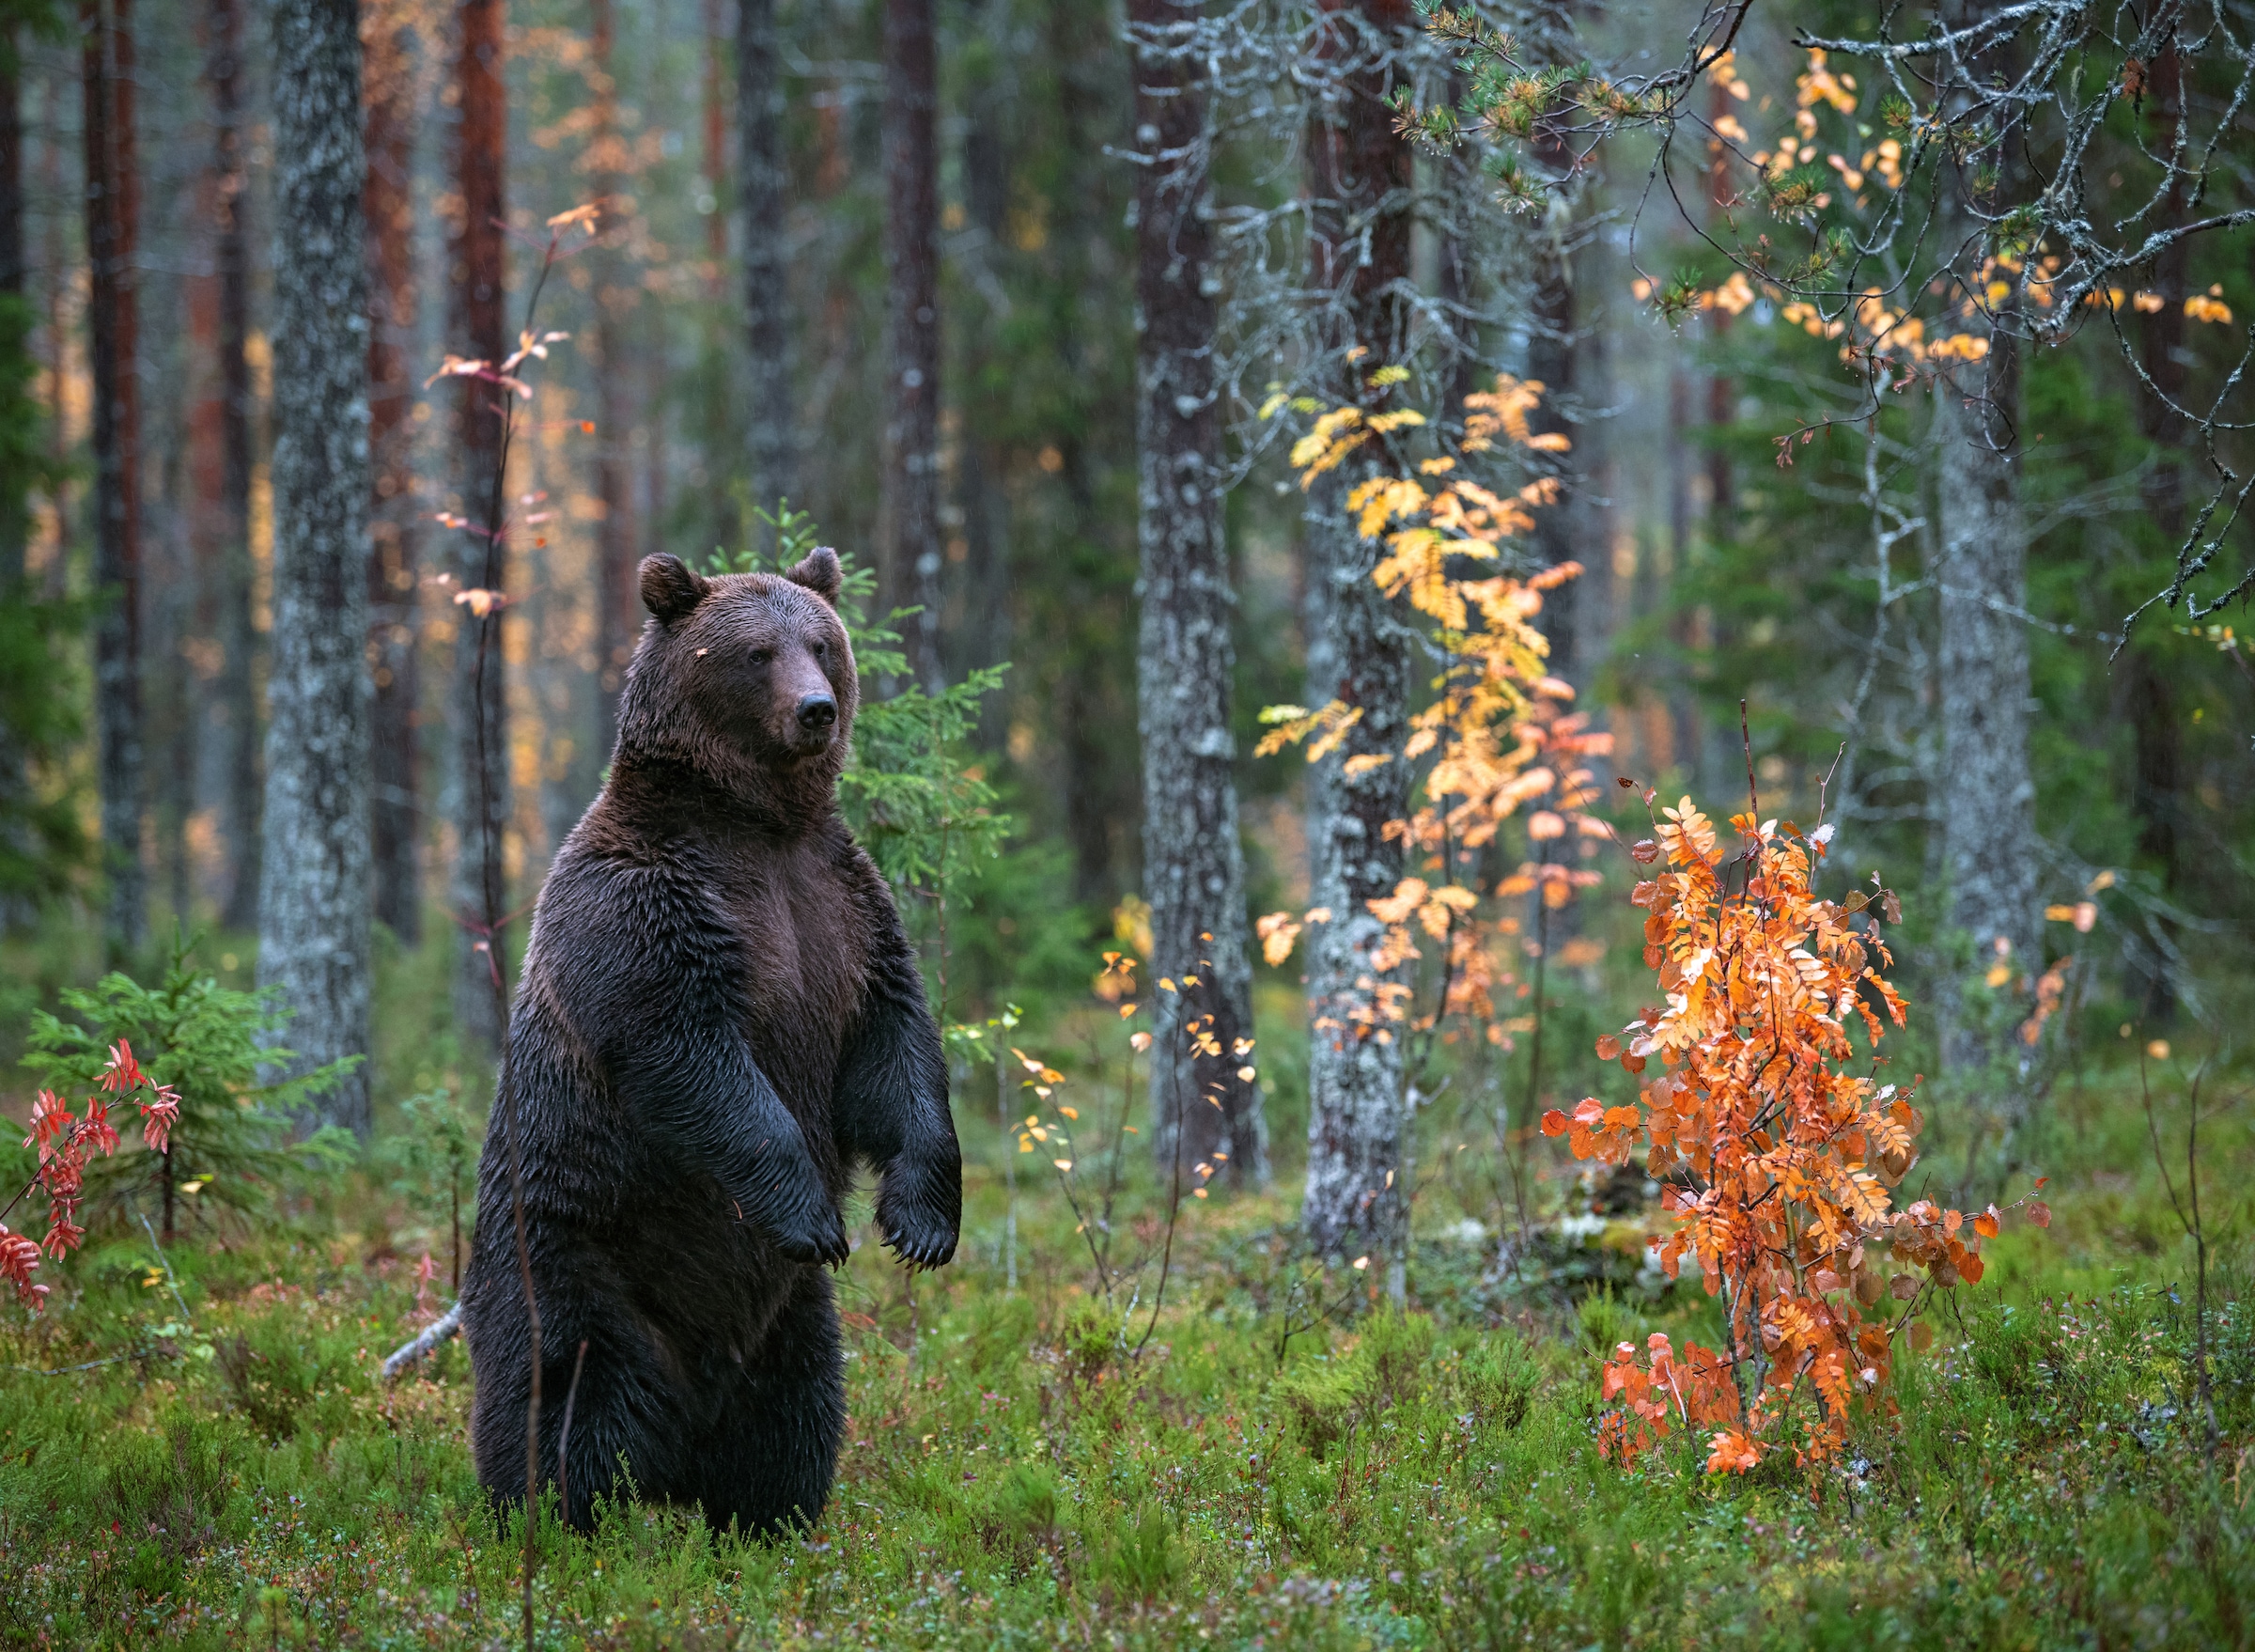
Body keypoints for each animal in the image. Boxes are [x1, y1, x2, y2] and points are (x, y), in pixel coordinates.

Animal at [461, 546, 961, 1537]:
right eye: (757, 652)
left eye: (821, 642)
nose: (818, 710)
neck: (755, 824)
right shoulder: (646, 907)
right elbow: (693, 1056)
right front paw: (813, 1212)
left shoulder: (844, 911)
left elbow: (894, 1049)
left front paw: (920, 1222)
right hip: (576, 1259)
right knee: (571, 1398)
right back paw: (559, 1521)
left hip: (786, 1319)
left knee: (795, 1412)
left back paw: (767, 1519)